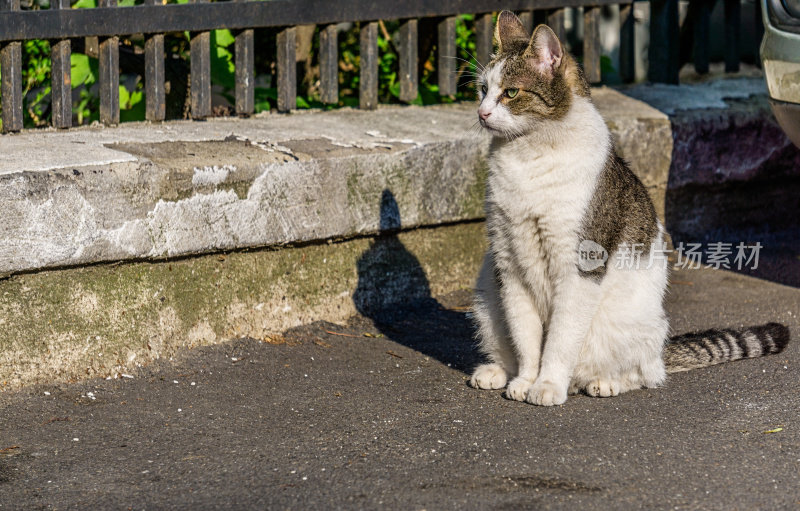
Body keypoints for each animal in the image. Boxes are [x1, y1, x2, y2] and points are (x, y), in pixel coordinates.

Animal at [468, 10, 788, 406]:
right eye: (483, 90)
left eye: (511, 92)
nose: (481, 113)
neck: (527, 157)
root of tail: (663, 349)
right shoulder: (510, 266)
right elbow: (526, 339)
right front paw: (526, 381)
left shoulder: (580, 267)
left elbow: (558, 341)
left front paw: (547, 385)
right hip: (487, 294)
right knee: (508, 345)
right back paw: (496, 372)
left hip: (629, 324)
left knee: (645, 374)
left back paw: (604, 382)